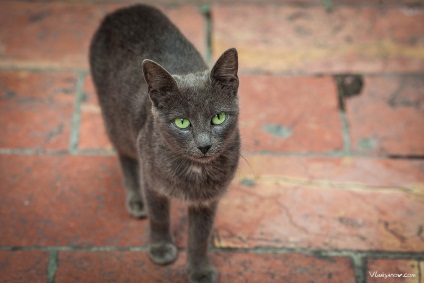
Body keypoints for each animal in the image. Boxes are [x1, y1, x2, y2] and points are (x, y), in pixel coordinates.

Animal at [89, 5, 238, 283]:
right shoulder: (153, 181)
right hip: (116, 121)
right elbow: (158, 216)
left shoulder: (208, 199)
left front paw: (199, 270)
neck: (194, 171)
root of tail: (122, 10)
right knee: (125, 155)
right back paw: (136, 200)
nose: (204, 145)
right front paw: (160, 248)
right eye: (182, 122)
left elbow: (200, 236)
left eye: (218, 118)